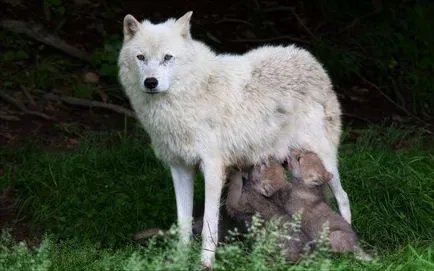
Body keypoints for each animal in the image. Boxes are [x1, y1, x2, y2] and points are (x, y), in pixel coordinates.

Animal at [118, 11, 352, 270]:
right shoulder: (180, 168)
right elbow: (183, 222)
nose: (150, 82)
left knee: (343, 197)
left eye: (167, 57)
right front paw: (180, 259)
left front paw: (206, 262)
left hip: (324, 160)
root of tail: (310, 59)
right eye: (141, 57)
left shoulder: (212, 169)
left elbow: (209, 223)